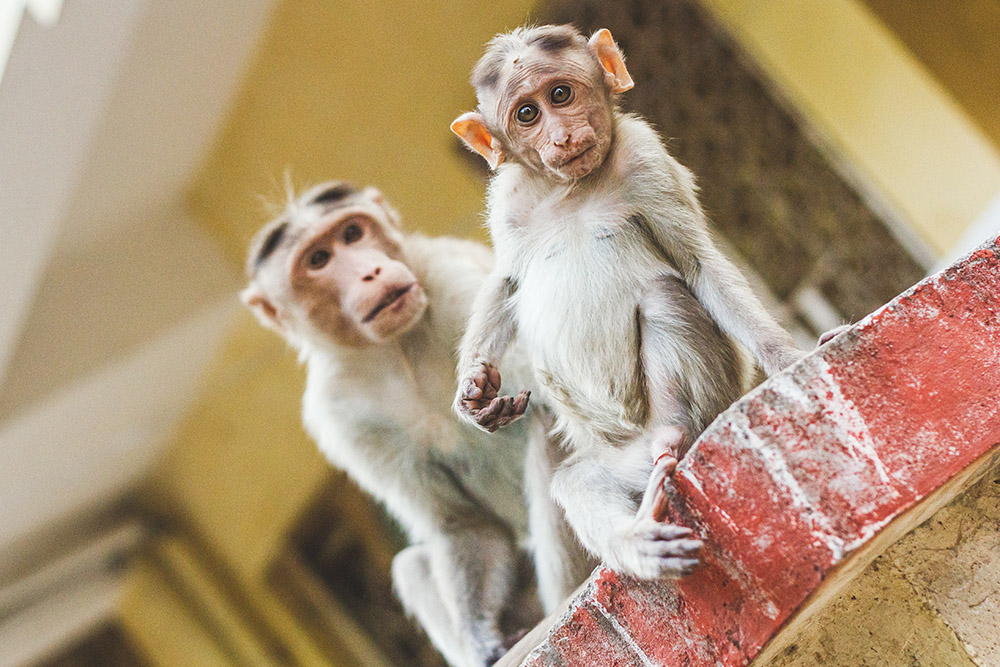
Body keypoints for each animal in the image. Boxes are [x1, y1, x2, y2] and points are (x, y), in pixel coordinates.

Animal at [239, 180, 588, 664]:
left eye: (352, 233)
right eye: (318, 259)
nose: (370, 272)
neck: (398, 346)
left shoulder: (452, 279)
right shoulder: (339, 415)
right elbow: (461, 524)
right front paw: (479, 635)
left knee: (549, 423)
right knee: (412, 564)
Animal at [454, 24, 804, 580]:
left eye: (560, 94)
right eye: (526, 114)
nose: (563, 136)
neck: (569, 189)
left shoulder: (644, 159)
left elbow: (697, 265)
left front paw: (791, 359)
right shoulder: (507, 200)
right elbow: (507, 281)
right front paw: (474, 390)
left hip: (701, 402)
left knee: (664, 297)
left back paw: (676, 432)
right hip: (620, 460)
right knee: (579, 480)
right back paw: (639, 537)